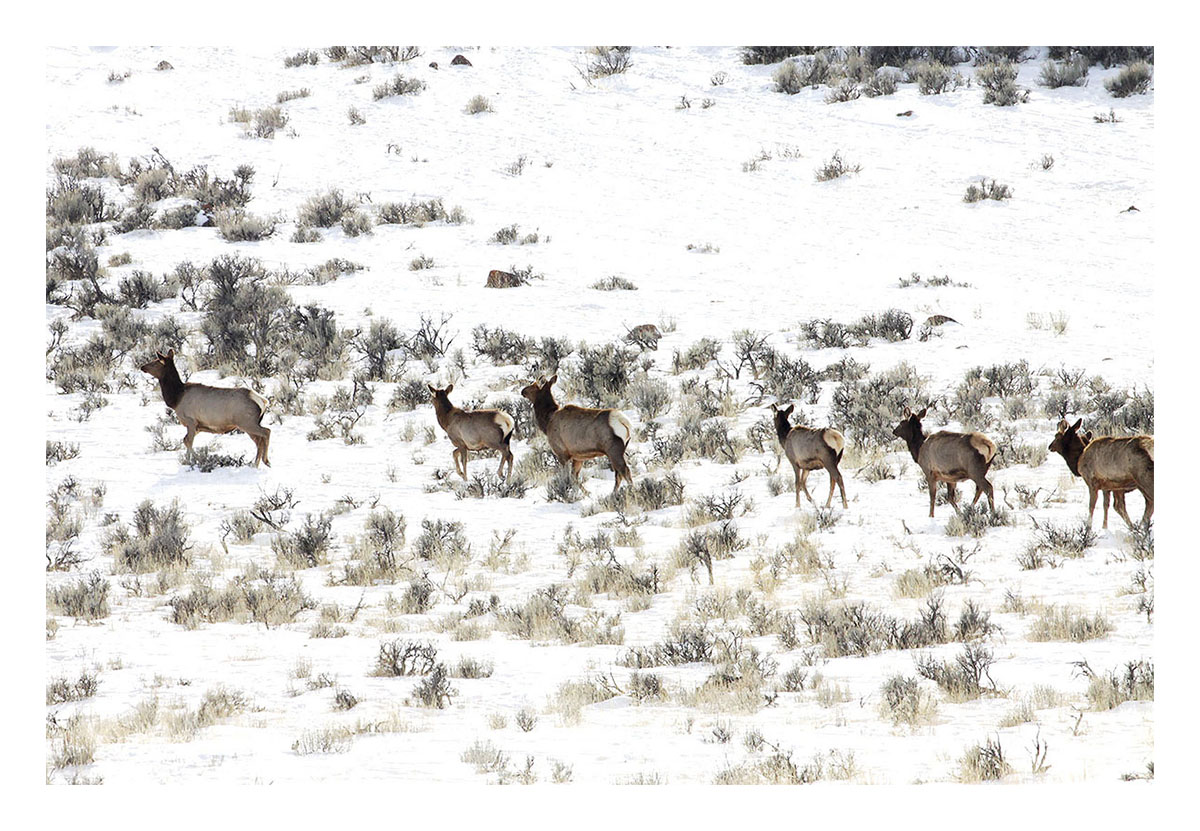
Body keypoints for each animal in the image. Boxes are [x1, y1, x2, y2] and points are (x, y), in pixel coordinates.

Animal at [140, 348, 272, 468]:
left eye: (155, 362)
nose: (142, 367)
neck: (176, 398)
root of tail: (263, 401)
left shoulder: (191, 421)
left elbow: (187, 441)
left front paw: (196, 461)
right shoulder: (198, 426)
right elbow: (186, 440)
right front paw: (190, 461)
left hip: (246, 422)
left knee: (266, 432)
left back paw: (264, 461)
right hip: (247, 425)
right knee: (259, 441)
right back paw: (257, 463)